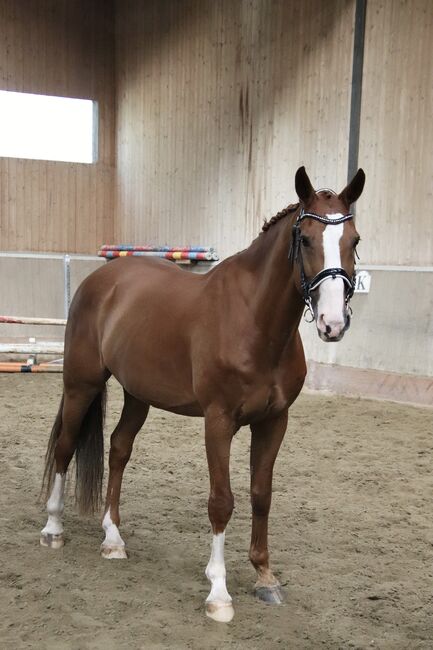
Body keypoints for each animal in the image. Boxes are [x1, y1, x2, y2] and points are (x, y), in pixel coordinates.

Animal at [41, 165, 364, 620]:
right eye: (305, 239)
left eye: (354, 240)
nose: (332, 324)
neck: (254, 320)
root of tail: (101, 280)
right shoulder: (219, 420)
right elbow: (222, 501)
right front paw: (219, 592)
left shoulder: (274, 421)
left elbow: (261, 494)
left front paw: (265, 577)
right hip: (80, 384)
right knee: (65, 446)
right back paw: (53, 528)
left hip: (138, 394)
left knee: (119, 448)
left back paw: (113, 538)